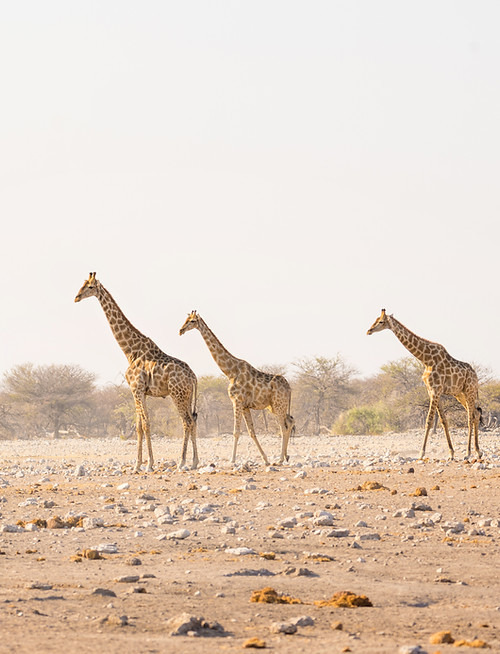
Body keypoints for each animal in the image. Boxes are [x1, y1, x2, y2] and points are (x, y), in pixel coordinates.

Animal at [74, 273, 198, 472]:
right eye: (83, 283)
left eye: (90, 287)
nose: (76, 297)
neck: (130, 351)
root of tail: (194, 377)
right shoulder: (142, 392)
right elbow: (139, 426)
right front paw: (137, 464)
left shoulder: (136, 388)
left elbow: (146, 424)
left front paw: (149, 464)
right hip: (187, 396)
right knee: (193, 421)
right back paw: (194, 462)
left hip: (177, 394)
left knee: (186, 421)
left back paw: (182, 462)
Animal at [179, 311, 295, 465]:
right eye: (186, 319)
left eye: (191, 321)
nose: (181, 330)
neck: (230, 371)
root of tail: (289, 388)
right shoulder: (245, 406)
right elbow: (251, 432)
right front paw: (265, 459)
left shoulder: (237, 401)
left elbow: (236, 432)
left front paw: (232, 460)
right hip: (275, 406)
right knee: (290, 422)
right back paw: (285, 456)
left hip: (278, 405)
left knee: (284, 427)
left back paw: (280, 459)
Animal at [367, 309, 482, 460]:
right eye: (375, 319)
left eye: (381, 321)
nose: (369, 330)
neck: (426, 359)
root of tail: (476, 375)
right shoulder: (432, 391)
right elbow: (443, 421)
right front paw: (451, 453)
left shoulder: (435, 390)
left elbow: (429, 420)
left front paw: (421, 453)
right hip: (459, 393)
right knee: (475, 414)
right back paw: (478, 452)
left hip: (469, 391)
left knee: (470, 417)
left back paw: (468, 453)